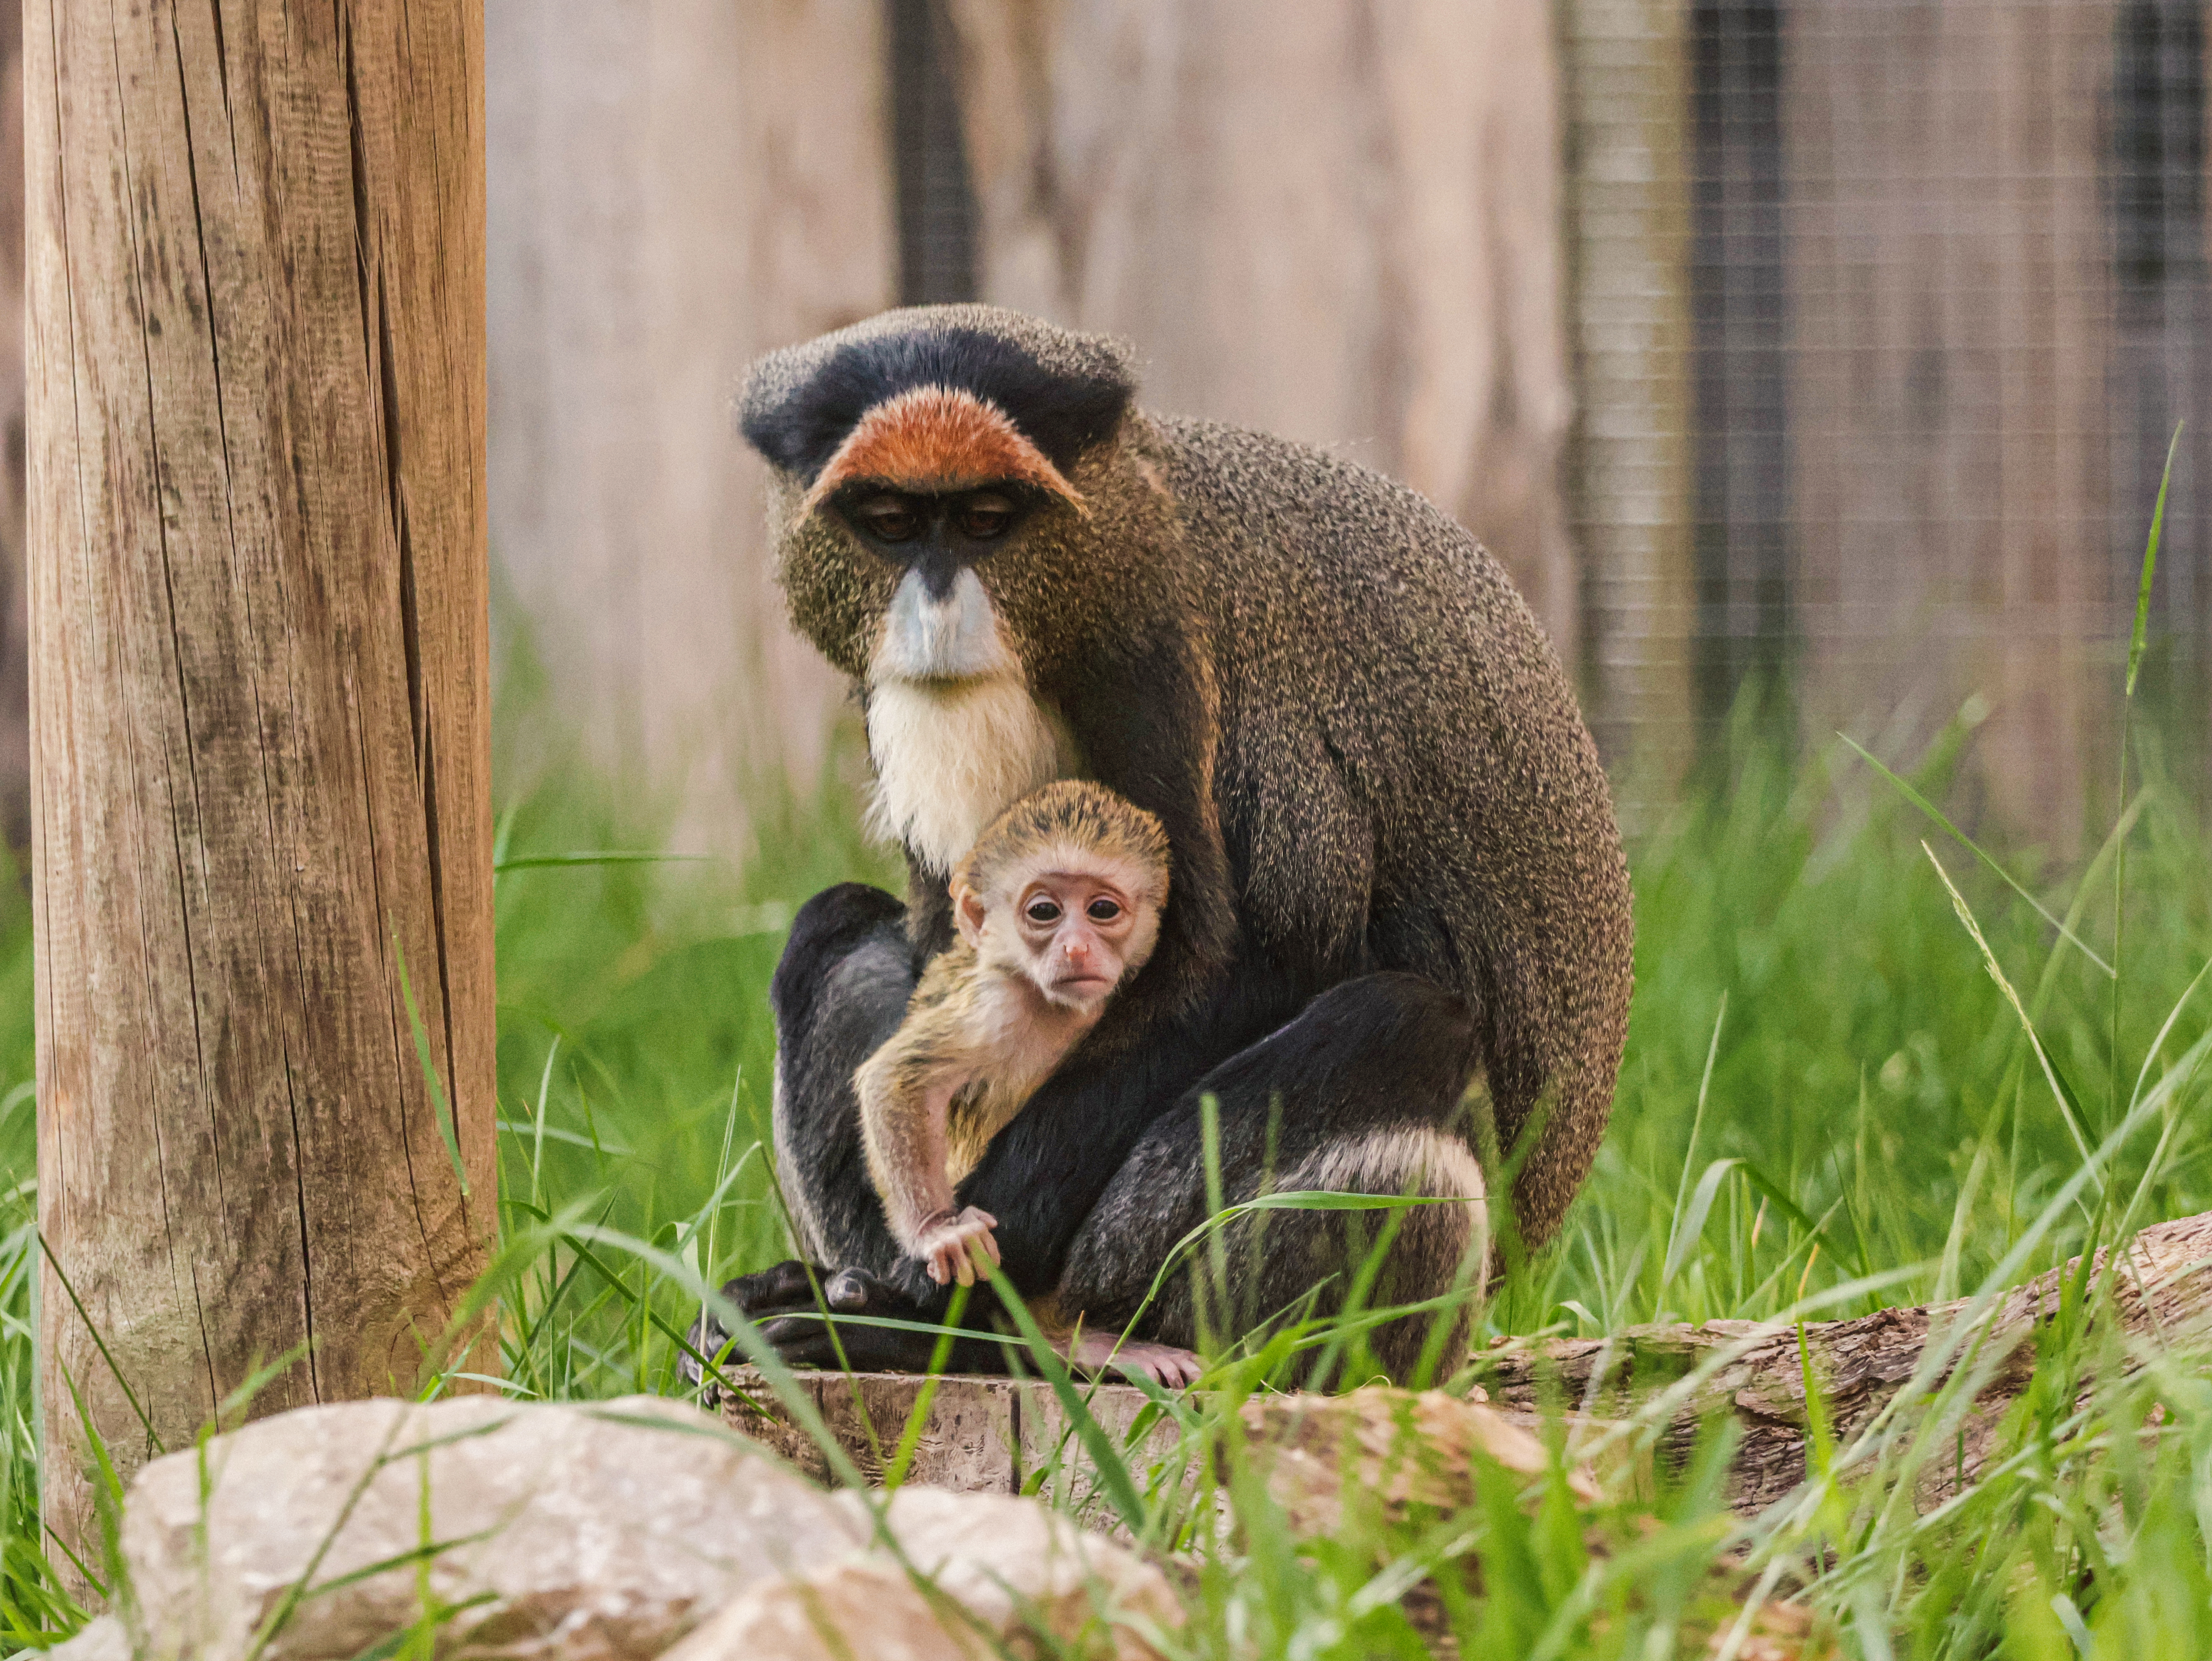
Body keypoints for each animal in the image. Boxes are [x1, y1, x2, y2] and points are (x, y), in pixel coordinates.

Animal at [856, 780, 1169, 1294]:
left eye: (1103, 909)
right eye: (1044, 912)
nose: (1076, 948)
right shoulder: (998, 1006)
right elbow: (894, 1079)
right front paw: (938, 1231)